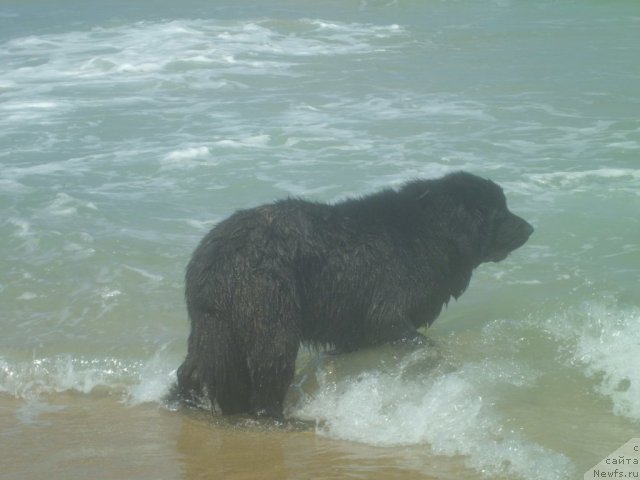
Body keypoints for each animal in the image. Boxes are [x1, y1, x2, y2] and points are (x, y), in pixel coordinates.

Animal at [172, 172, 532, 416]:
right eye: (499, 212)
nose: (531, 228)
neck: (430, 233)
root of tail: (215, 254)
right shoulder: (387, 316)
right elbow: (420, 342)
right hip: (271, 322)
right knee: (267, 377)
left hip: (211, 329)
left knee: (192, 369)